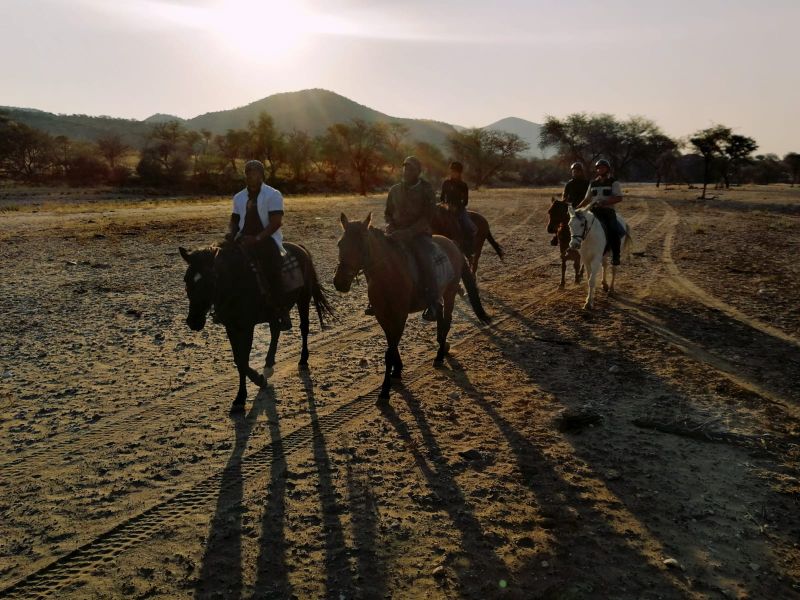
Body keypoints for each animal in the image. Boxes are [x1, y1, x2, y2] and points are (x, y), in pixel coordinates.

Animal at [180, 241, 332, 410]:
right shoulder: (231, 327)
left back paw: (303, 359)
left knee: (303, 327)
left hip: (303, 298)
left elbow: (243, 361)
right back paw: (269, 362)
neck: (235, 284)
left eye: (210, 281)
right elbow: (238, 360)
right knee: (275, 331)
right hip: (275, 312)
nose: (193, 321)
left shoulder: (247, 327)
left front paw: (246, 392)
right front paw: (250, 388)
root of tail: (301, 249)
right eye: (186, 279)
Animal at [332, 213, 488, 400]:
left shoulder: (400, 315)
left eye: (362, 244)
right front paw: (397, 371)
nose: (340, 282)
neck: (388, 274)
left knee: (447, 321)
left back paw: (440, 355)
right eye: (340, 244)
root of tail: (453, 244)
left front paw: (385, 390)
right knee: (440, 316)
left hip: (450, 292)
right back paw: (441, 347)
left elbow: (390, 351)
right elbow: (391, 345)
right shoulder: (383, 316)